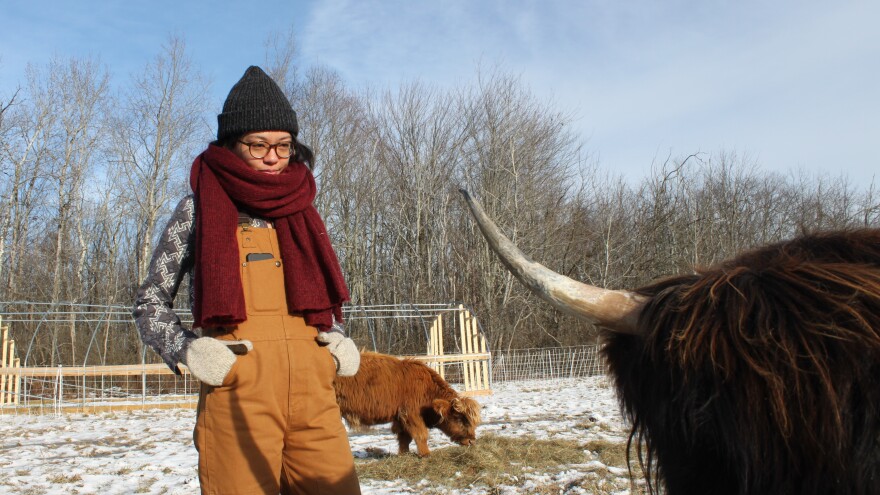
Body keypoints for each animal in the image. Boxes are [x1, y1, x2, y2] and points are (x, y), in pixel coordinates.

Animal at [332, 352, 482, 458]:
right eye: (459, 418)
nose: (472, 441)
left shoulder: (400, 417)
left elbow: (404, 438)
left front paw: (404, 454)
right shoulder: (411, 414)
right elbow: (421, 435)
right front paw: (426, 454)